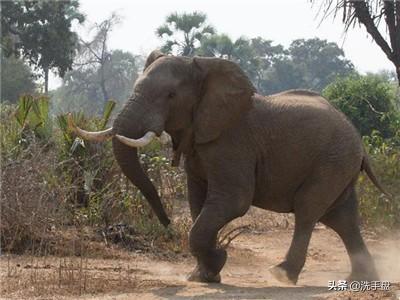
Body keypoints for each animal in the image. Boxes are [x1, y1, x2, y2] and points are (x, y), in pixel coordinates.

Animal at [68, 50, 390, 284]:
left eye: (171, 96)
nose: (167, 222)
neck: (202, 67)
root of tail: (359, 139)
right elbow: (198, 202)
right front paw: (204, 275)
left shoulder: (232, 143)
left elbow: (233, 201)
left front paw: (216, 263)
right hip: (339, 163)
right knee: (341, 217)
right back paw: (360, 279)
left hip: (332, 161)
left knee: (309, 210)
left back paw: (282, 274)